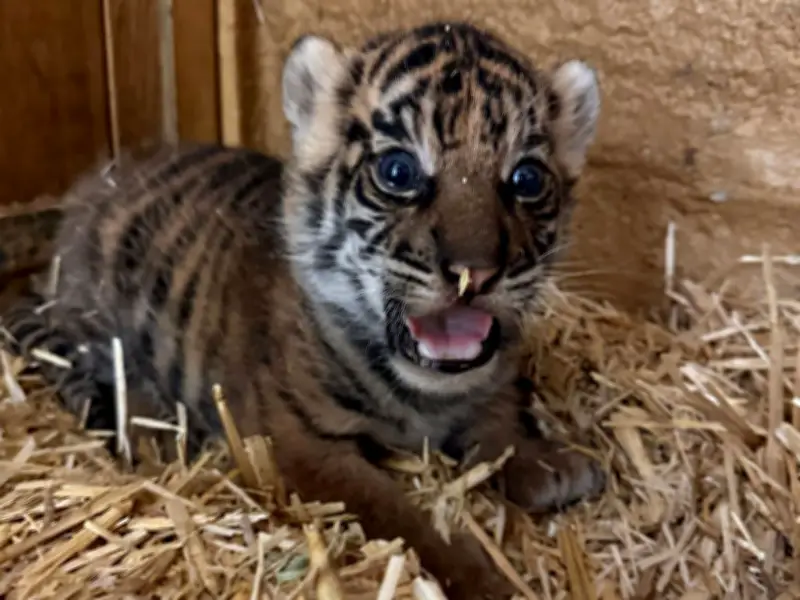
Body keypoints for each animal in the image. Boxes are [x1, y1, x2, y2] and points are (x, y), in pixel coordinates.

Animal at [0, 21, 605, 598]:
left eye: (526, 179)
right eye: (399, 172)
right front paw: (482, 580)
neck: (426, 395)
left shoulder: (488, 385)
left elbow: (500, 423)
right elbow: (402, 516)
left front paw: (551, 464)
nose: (474, 274)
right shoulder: (296, 445)